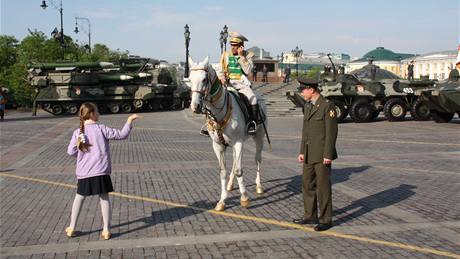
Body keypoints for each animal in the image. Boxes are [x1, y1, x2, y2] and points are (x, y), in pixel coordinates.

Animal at [187, 56, 266, 211]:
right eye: (190, 79)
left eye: (204, 79)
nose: (195, 106)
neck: (219, 112)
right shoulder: (218, 146)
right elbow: (223, 171)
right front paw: (222, 201)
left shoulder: (239, 142)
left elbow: (239, 170)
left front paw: (244, 198)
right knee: (235, 161)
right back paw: (230, 184)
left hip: (259, 137)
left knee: (257, 159)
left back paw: (259, 186)